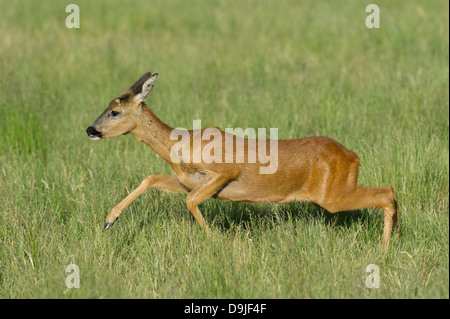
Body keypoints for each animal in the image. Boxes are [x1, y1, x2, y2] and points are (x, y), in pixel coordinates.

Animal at [86, 71, 400, 249]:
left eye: (114, 111)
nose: (90, 129)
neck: (181, 146)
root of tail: (354, 156)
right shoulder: (186, 180)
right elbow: (151, 179)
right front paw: (109, 221)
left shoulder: (223, 171)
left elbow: (191, 201)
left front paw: (216, 241)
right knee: (388, 190)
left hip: (333, 196)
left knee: (386, 192)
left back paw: (384, 248)